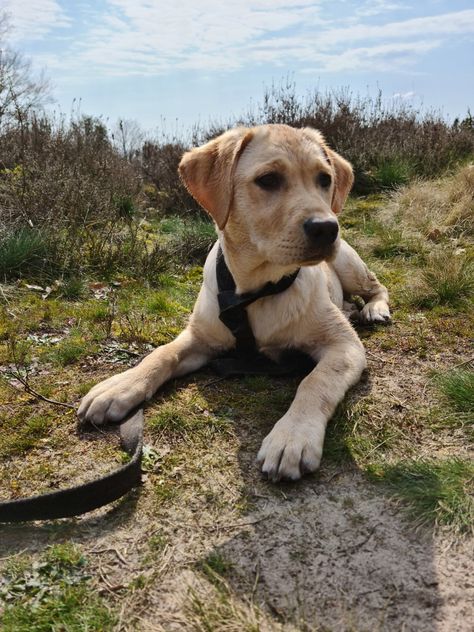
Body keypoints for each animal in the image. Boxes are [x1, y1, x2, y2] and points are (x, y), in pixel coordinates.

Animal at [78, 123, 388, 482]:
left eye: (324, 179)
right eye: (268, 180)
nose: (327, 228)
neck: (257, 290)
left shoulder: (344, 347)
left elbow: (315, 382)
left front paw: (293, 435)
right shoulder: (200, 337)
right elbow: (160, 354)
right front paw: (120, 386)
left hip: (348, 264)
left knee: (376, 285)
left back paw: (375, 308)